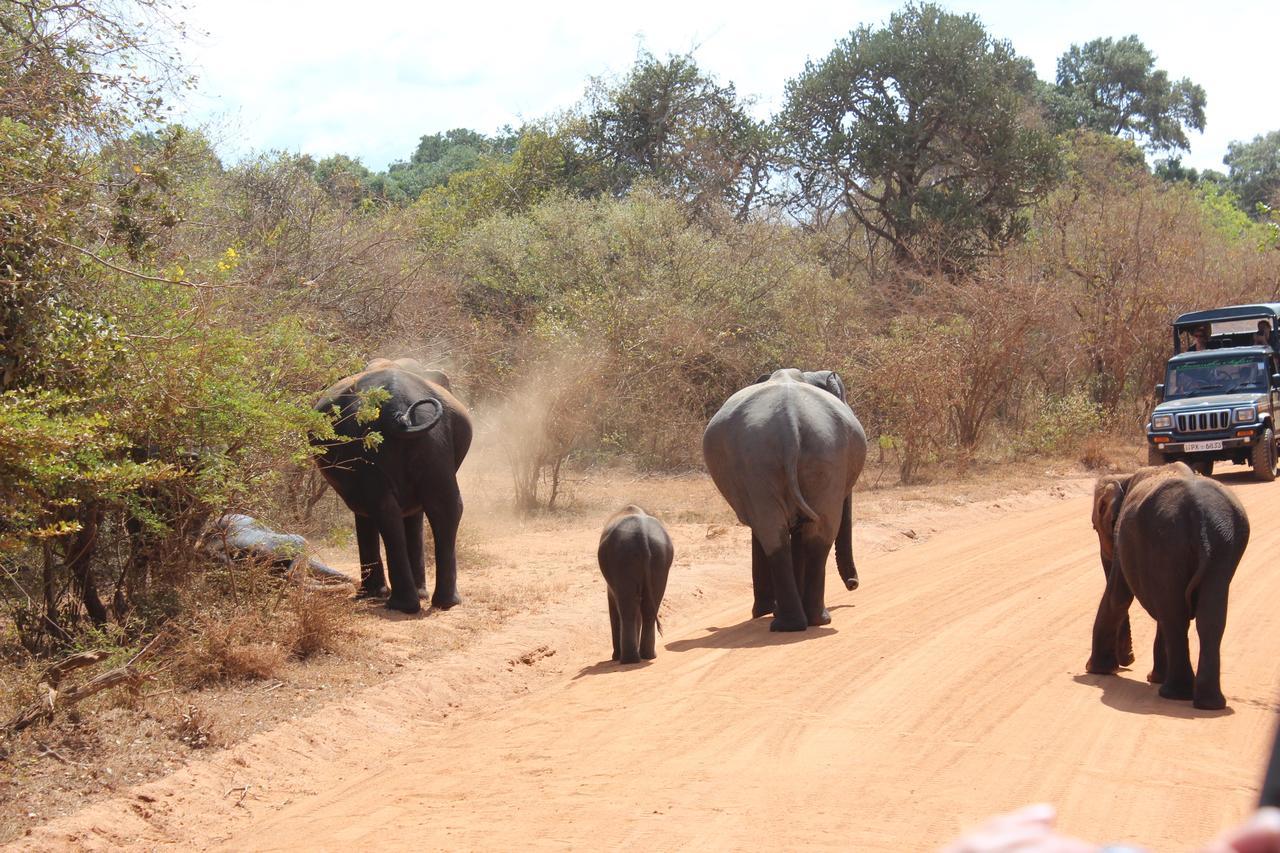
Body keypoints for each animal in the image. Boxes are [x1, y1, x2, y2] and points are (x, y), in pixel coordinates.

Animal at [599, 502, 680, 660]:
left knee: (628, 608)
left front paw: (615, 657)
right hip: (660, 557)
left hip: (623, 559)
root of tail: (642, 533)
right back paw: (647, 656)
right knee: (648, 606)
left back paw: (628, 659)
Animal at [701, 368, 870, 627]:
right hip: (804, 453)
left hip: (810, 452)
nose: (853, 584)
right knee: (808, 529)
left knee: (788, 532)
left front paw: (763, 612)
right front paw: (763, 611)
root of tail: (789, 424)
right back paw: (799, 621)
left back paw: (798, 621)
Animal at [1090, 461, 1249, 706]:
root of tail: (1200, 516)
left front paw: (1096, 670)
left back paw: (1175, 694)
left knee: (1174, 615)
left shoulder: (1123, 541)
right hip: (1221, 546)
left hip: (1167, 540)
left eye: (1095, 527)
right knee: (1205, 617)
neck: (1124, 478)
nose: (1127, 661)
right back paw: (1206, 703)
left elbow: (1118, 596)